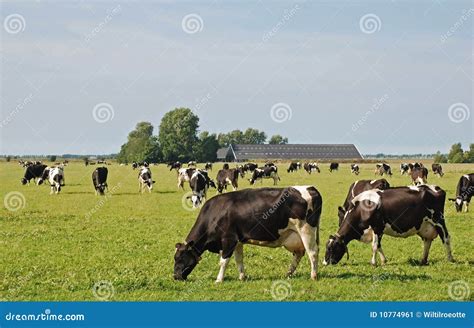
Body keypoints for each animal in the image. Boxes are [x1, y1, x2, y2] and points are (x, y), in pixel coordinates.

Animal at [174, 186, 322, 280]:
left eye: (180, 258)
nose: (175, 277)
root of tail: (311, 188)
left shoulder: (229, 239)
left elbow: (223, 261)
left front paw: (219, 279)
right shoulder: (238, 241)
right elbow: (239, 260)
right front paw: (242, 277)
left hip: (307, 230)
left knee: (312, 253)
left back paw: (313, 276)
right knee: (299, 254)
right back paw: (288, 274)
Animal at [324, 184, 454, 266]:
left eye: (331, 248)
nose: (324, 263)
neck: (361, 209)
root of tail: (436, 188)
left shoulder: (377, 227)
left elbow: (374, 246)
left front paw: (373, 263)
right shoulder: (378, 230)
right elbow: (378, 245)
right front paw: (383, 261)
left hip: (438, 220)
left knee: (446, 238)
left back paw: (450, 259)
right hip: (424, 225)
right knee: (427, 241)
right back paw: (423, 260)